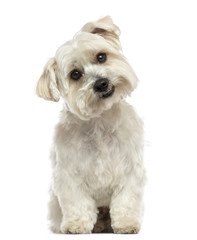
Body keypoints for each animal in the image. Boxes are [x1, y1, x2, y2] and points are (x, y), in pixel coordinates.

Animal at [36, 15, 145, 233]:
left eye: (101, 57)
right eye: (75, 74)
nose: (101, 83)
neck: (99, 121)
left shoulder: (129, 169)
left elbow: (126, 200)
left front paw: (126, 224)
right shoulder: (69, 174)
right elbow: (77, 203)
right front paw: (76, 225)